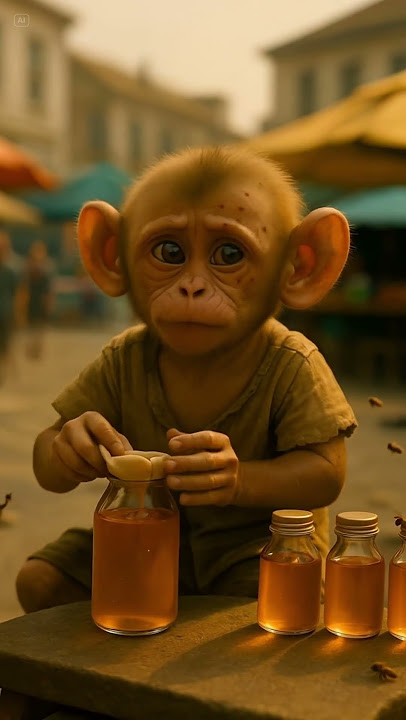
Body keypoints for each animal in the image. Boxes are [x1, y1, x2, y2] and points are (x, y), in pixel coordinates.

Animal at [15, 146, 357, 613]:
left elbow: (320, 468)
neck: (204, 363)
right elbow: (48, 445)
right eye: (170, 251)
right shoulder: (114, 353)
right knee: (38, 579)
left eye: (229, 255)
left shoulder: (306, 364)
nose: (192, 290)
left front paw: (219, 469)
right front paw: (79, 440)